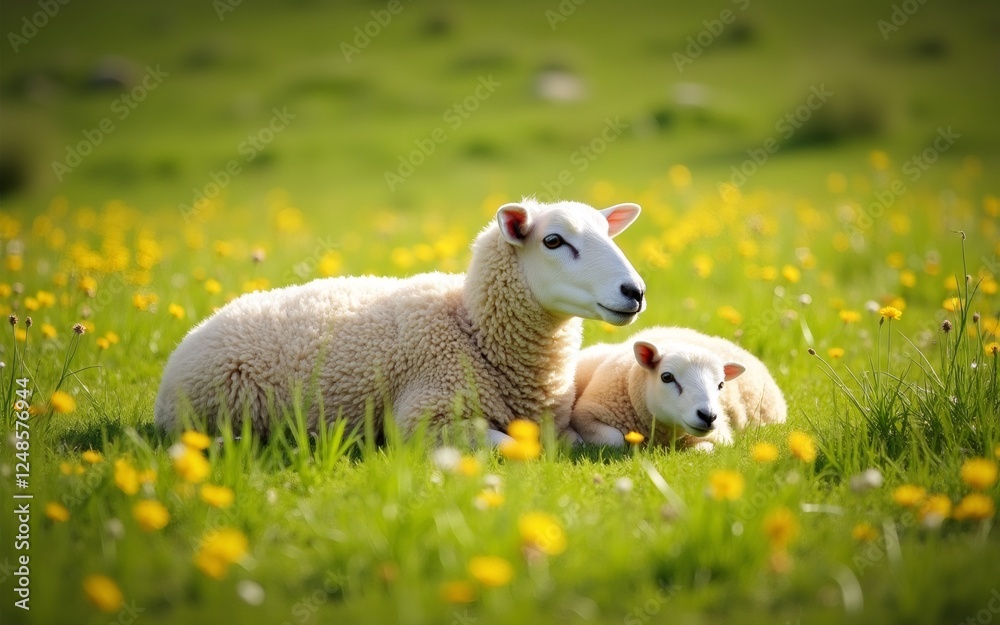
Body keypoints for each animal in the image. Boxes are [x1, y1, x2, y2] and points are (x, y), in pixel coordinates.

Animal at [154, 199, 647, 445]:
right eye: (553, 241)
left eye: (608, 234)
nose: (635, 292)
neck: (471, 329)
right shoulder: (426, 418)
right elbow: (513, 446)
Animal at [571, 326, 786, 450]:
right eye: (667, 377)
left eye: (721, 384)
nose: (708, 416)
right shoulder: (584, 414)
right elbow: (614, 439)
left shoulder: (720, 436)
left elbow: (703, 450)